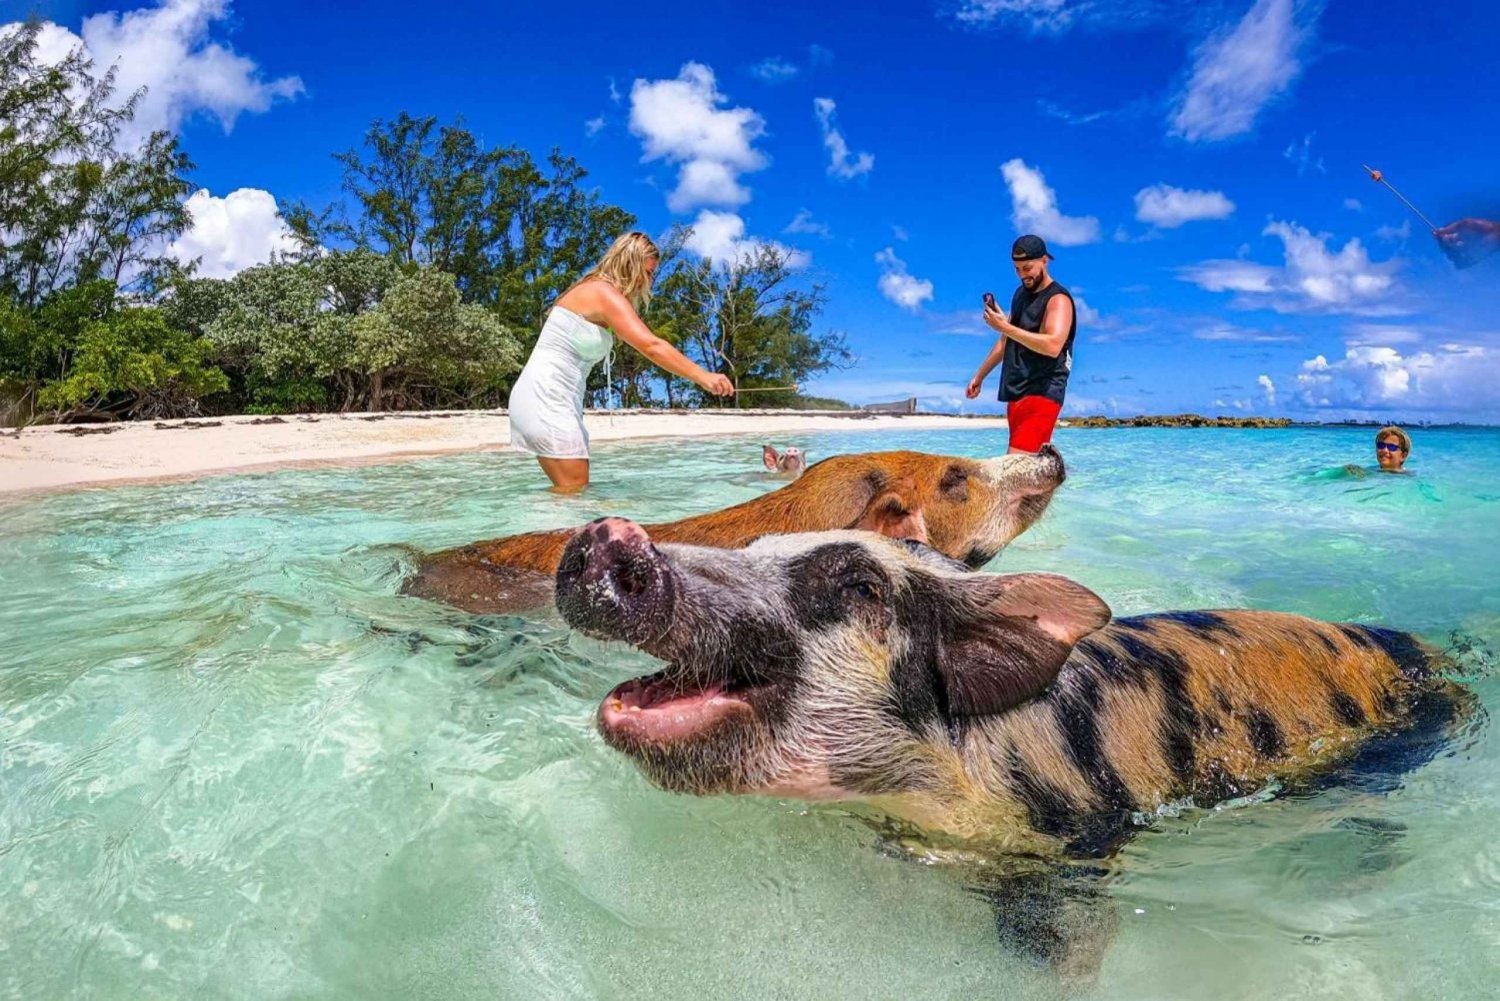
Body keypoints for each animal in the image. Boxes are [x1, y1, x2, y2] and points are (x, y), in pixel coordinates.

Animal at [558, 522, 1470, 972]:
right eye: (750, 550)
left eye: (858, 584)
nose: (610, 534)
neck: (923, 797)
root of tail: (1435, 654)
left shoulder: (1075, 849)